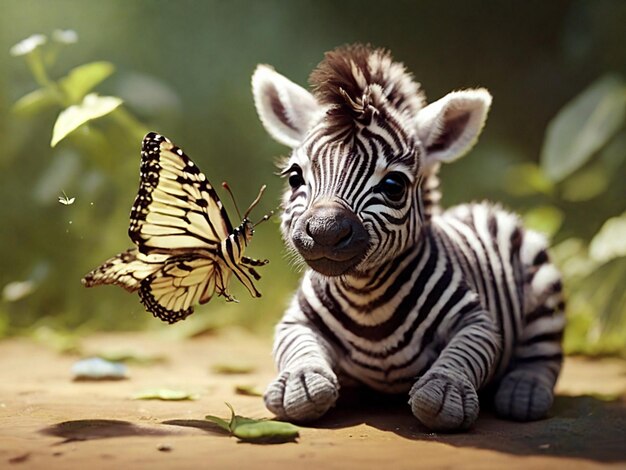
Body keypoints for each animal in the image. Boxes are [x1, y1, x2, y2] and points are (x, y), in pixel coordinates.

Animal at [251, 44, 564, 430]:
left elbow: (465, 354)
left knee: (542, 354)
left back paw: (524, 392)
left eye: (393, 186)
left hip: (544, 290)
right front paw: (302, 383)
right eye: (295, 177)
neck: (366, 298)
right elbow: (296, 347)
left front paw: (445, 392)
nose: (325, 232)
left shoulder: (478, 322)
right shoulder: (296, 321)